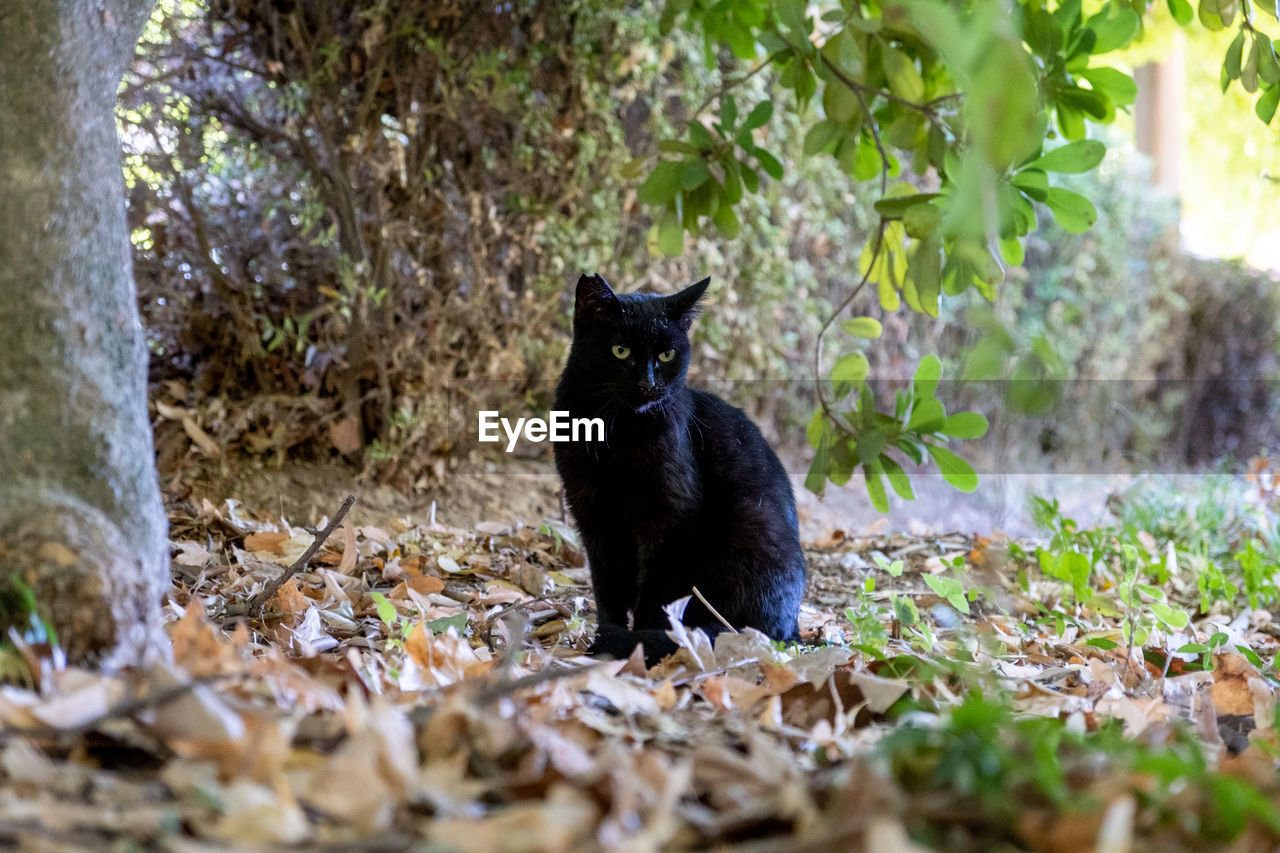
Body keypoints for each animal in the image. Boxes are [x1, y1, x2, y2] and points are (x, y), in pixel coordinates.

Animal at [552, 274, 808, 666]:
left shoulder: (673, 520)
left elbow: (656, 593)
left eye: (666, 354)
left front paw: (640, 647)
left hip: (753, 532)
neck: (619, 433)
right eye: (620, 350)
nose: (647, 384)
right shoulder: (592, 514)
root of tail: (794, 631)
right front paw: (605, 643)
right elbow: (606, 589)